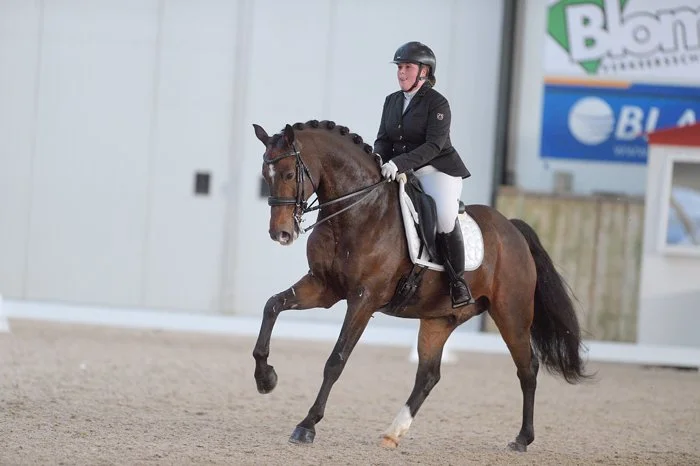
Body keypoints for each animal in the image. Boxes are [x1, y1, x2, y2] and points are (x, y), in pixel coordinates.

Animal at [250, 119, 591, 452]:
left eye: (289, 173)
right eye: (266, 176)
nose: (281, 233)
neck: (359, 211)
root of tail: (513, 230)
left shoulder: (364, 299)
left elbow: (336, 361)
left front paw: (307, 425)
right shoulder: (324, 287)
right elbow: (272, 305)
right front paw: (266, 378)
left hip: (512, 315)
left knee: (527, 368)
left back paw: (522, 438)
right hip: (439, 319)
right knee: (429, 375)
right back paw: (393, 433)